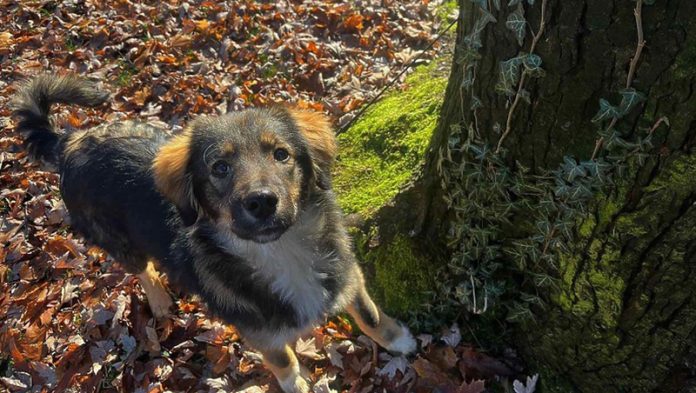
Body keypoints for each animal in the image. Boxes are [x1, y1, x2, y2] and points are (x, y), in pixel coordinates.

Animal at [12, 74, 414, 392]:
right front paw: (297, 384)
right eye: (220, 167)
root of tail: (69, 143)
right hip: (115, 239)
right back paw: (159, 299)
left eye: (281, 154)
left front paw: (398, 339)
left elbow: (369, 315)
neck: (282, 252)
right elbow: (282, 359)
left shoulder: (349, 275)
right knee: (141, 268)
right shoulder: (258, 332)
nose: (261, 202)